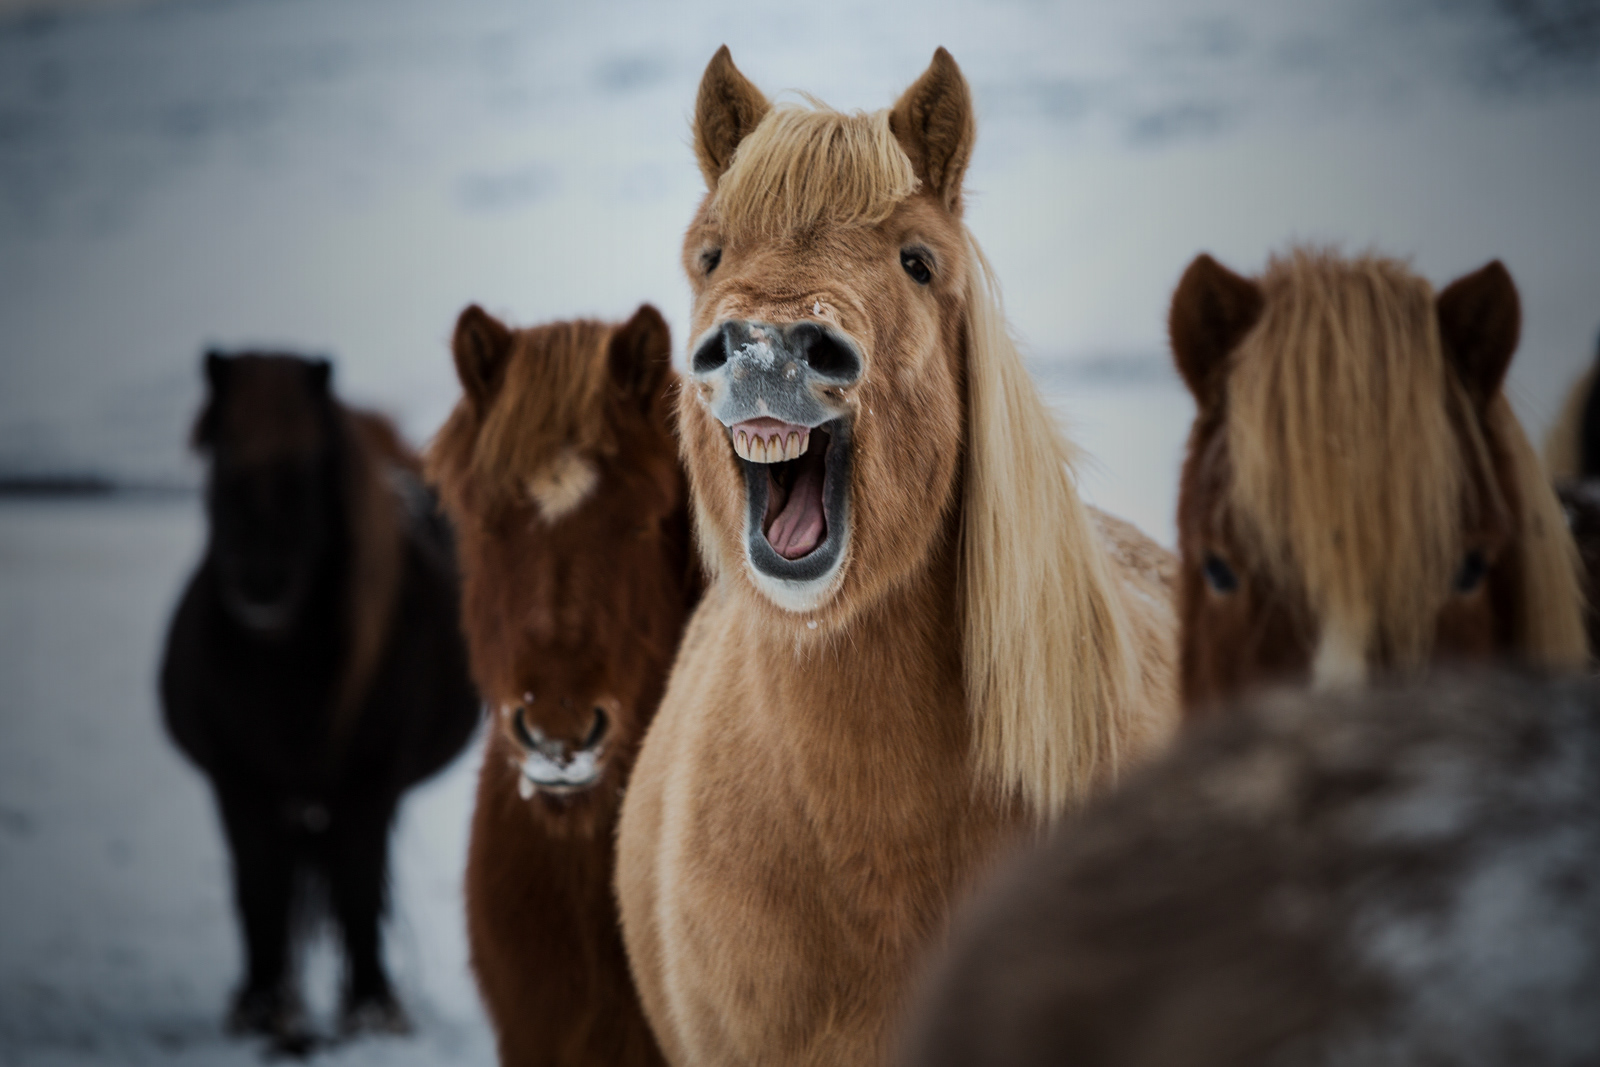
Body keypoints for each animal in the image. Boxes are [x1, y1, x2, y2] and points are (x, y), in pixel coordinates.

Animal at [160, 352, 480, 1050]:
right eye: (223, 452)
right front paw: (262, 1006)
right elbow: (260, 888)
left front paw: (372, 1009)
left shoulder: (369, 783)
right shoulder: (240, 783)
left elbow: (358, 887)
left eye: (309, 463)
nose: (261, 580)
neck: (287, 671)